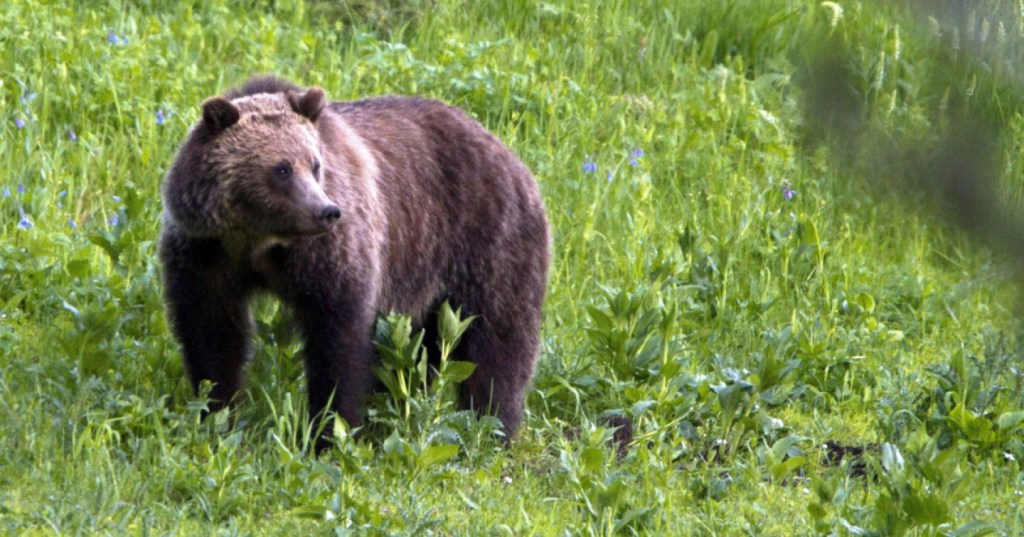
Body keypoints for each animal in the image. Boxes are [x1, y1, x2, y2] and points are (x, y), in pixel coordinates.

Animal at [158, 76, 549, 448]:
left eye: (315, 164)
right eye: (282, 169)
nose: (326, 211)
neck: (258, 241)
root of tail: (507, 152)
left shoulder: (329, 256)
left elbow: (338, 339)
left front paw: (330, 430)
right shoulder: (206, 254)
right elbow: (212, 333)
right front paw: (217, 413)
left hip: (486, 241)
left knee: (498, 340)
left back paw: (493, 426)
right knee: (421, 350)